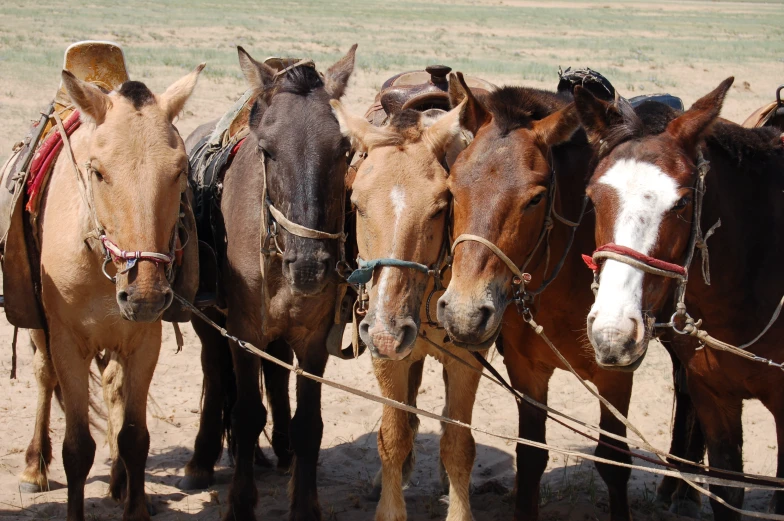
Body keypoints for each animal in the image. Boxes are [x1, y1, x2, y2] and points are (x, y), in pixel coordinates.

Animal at [13, 66, 202, 520]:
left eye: (179, 170)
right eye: (97, 171)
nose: (145, 295)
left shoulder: (143, 341)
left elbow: (135, 436)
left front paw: (136, 506)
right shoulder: (68, 343)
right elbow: (77, 448)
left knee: (113, 387)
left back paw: (119, 480)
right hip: (41, 332)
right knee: (43, 377)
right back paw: (33, 467)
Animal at [184, 45, 356, 520]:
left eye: (344, 149)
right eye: (267, 150)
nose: (310, 265)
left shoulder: (314, 340)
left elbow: (309, 423)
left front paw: (305, 504)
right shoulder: (243, 333)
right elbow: (244, 414)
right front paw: (241, 503)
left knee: (276, 376)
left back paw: (281, 450)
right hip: (208, 322)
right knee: (214, 374)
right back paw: (201, 459)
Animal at [330, 98, 484, 520]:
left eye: (440, 207)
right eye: (356, 204)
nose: (387, 331)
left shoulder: (468, 359)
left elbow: (458, 445)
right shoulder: (385, 357)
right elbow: (393, 436)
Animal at [438, 74, 640, 520]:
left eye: (535, 197)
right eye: (451, 188)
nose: (463, 314)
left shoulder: (616, 377)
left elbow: (615, 462)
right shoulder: (526, 369)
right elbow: (530, 457)